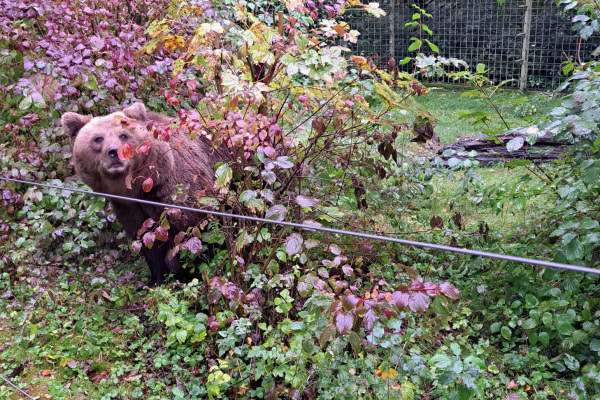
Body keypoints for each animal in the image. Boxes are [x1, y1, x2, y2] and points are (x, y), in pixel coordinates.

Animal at [61, 101, 230, 286]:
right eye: (98, 138)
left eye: (123, 136)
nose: (114, 151)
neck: (138, 190)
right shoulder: (128, 207)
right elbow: (147, 240)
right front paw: (154, 280)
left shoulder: (179, 194)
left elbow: (184, 236)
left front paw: (177, 274)